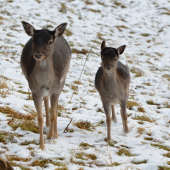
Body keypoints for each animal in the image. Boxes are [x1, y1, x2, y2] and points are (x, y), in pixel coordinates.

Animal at [20, 21, 71, 150]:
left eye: (50, 42)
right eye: (33, 40)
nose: (38, 54)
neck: (44, 83)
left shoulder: (55, 89)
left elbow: (54, 114)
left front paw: (50, 135)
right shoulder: (34, 91)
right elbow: (40, 118)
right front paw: (42, 147)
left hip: (63, 81)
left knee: (56, 106)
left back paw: (55, 134)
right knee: (46, 99)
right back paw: (48, 126)